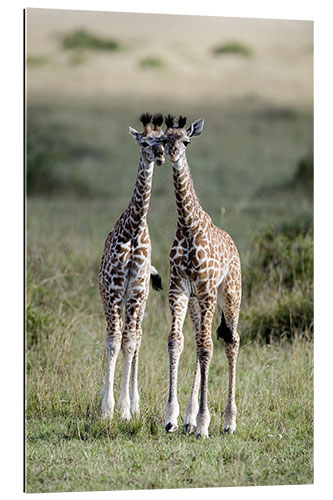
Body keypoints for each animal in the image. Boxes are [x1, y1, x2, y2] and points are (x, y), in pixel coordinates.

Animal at [151, 116, 241, 438]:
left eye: (187, 141)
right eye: (165, 139)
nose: (174, 154)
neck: (188, 226)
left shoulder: (207, 289)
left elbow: (206, 347)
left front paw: (204, 422)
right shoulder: (178, 289)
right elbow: (176, 342)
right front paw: (173, 418)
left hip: (230, 293)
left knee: (230, 341)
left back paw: (228, 421)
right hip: (196, 303)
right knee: (201, 339)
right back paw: (190, 419)